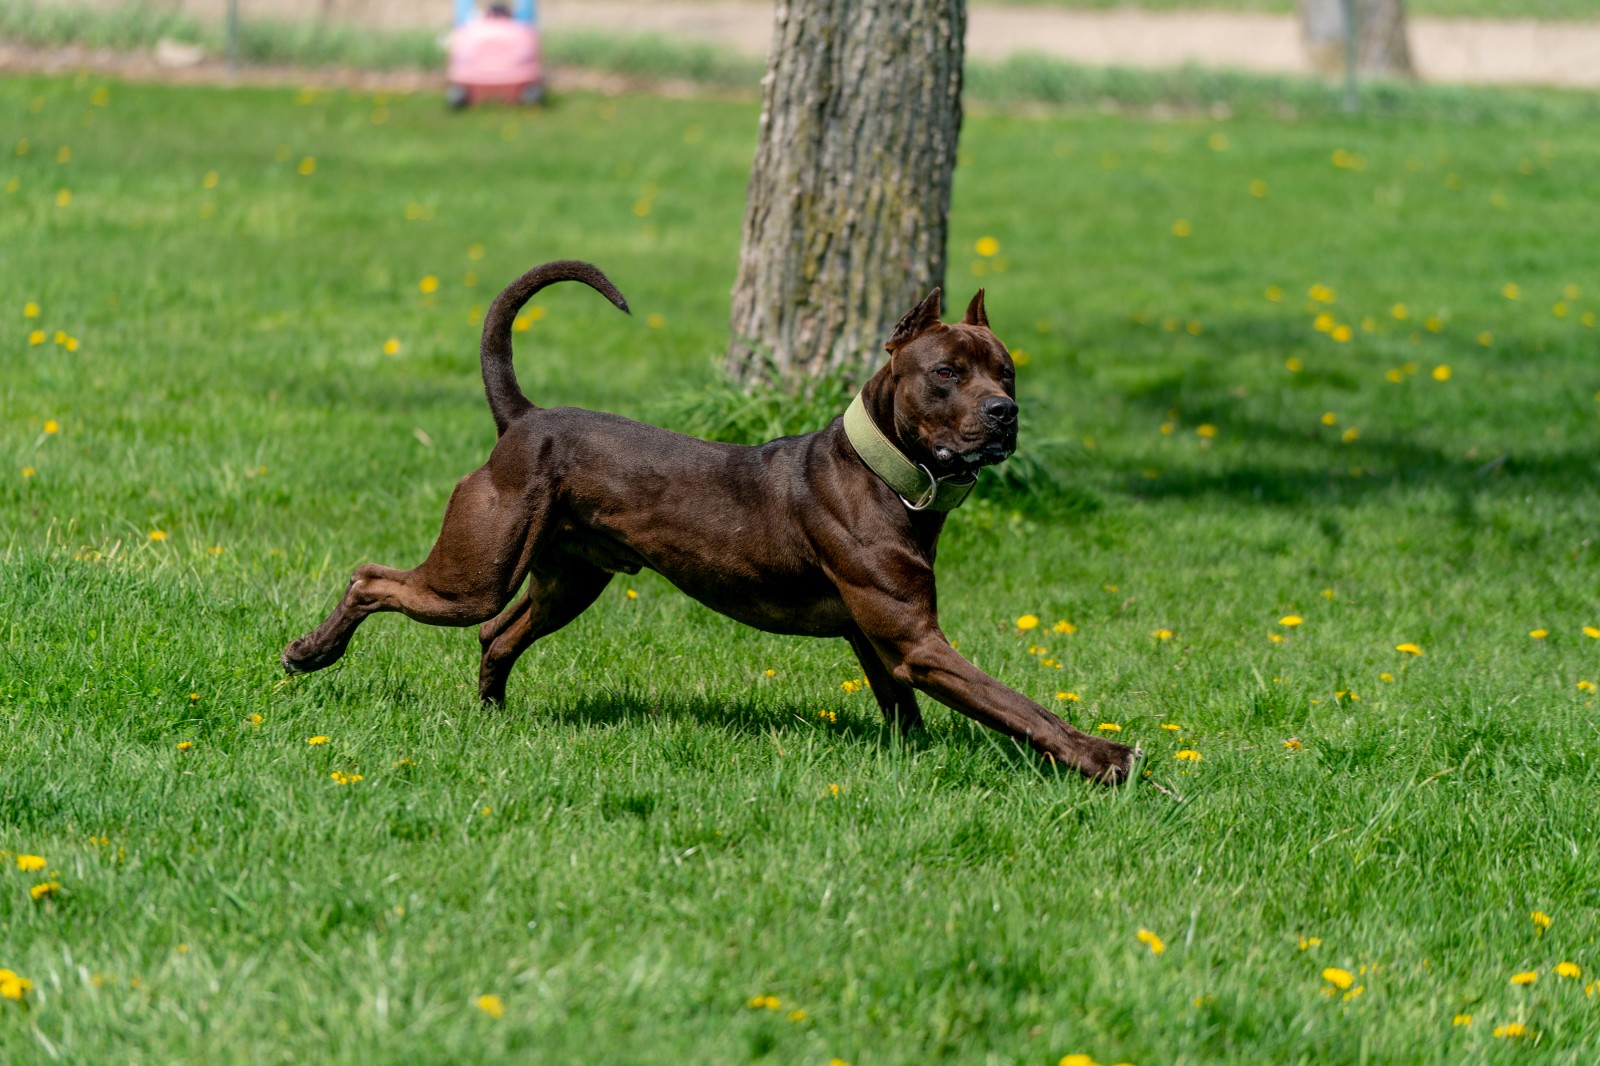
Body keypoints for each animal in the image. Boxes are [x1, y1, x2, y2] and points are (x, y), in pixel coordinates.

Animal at [284, 260, 1139, 777]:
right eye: (947, 373)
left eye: (1006, 371)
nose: (1005, 414)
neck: (881, 473)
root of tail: (521, 420)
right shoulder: (919, 642)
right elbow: (1018, 706)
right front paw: (1104, 758)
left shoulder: (885, 641)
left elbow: (907, 708)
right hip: (476, 573)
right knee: (373, 578)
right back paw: (310, 653)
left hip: (568, 580)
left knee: (497, 636)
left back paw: (491, 717)